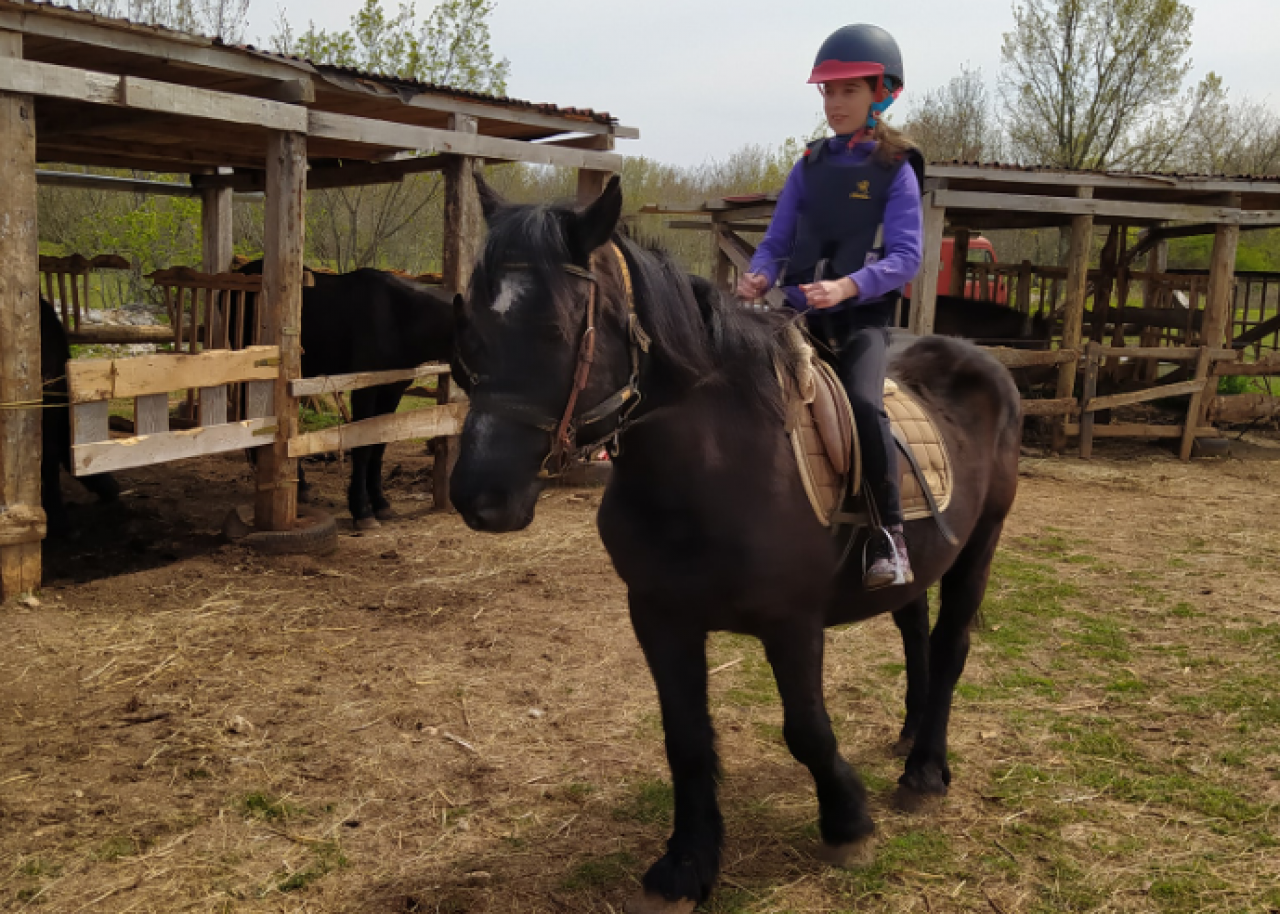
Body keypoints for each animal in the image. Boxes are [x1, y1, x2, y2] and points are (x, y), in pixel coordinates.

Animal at [233, 262, 455, 527]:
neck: (397, 316)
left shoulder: (392, 390)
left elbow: (379, 445)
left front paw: (380, 504)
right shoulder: (364, 390)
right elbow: (362, 446)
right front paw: (362, 510)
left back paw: (299, 486)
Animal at [448, 177, 1023, 913]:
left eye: (555, 329)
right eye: (471, 330)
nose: (479, 495)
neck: (714, 466)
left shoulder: (792, 623)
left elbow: (806, 729)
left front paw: (847, 824)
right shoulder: (659, 617)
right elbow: (686, 738)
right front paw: (685, 865)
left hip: (982, 540)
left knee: (950, 646)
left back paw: (925, 771)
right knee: (915, 630)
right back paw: (908, 737)